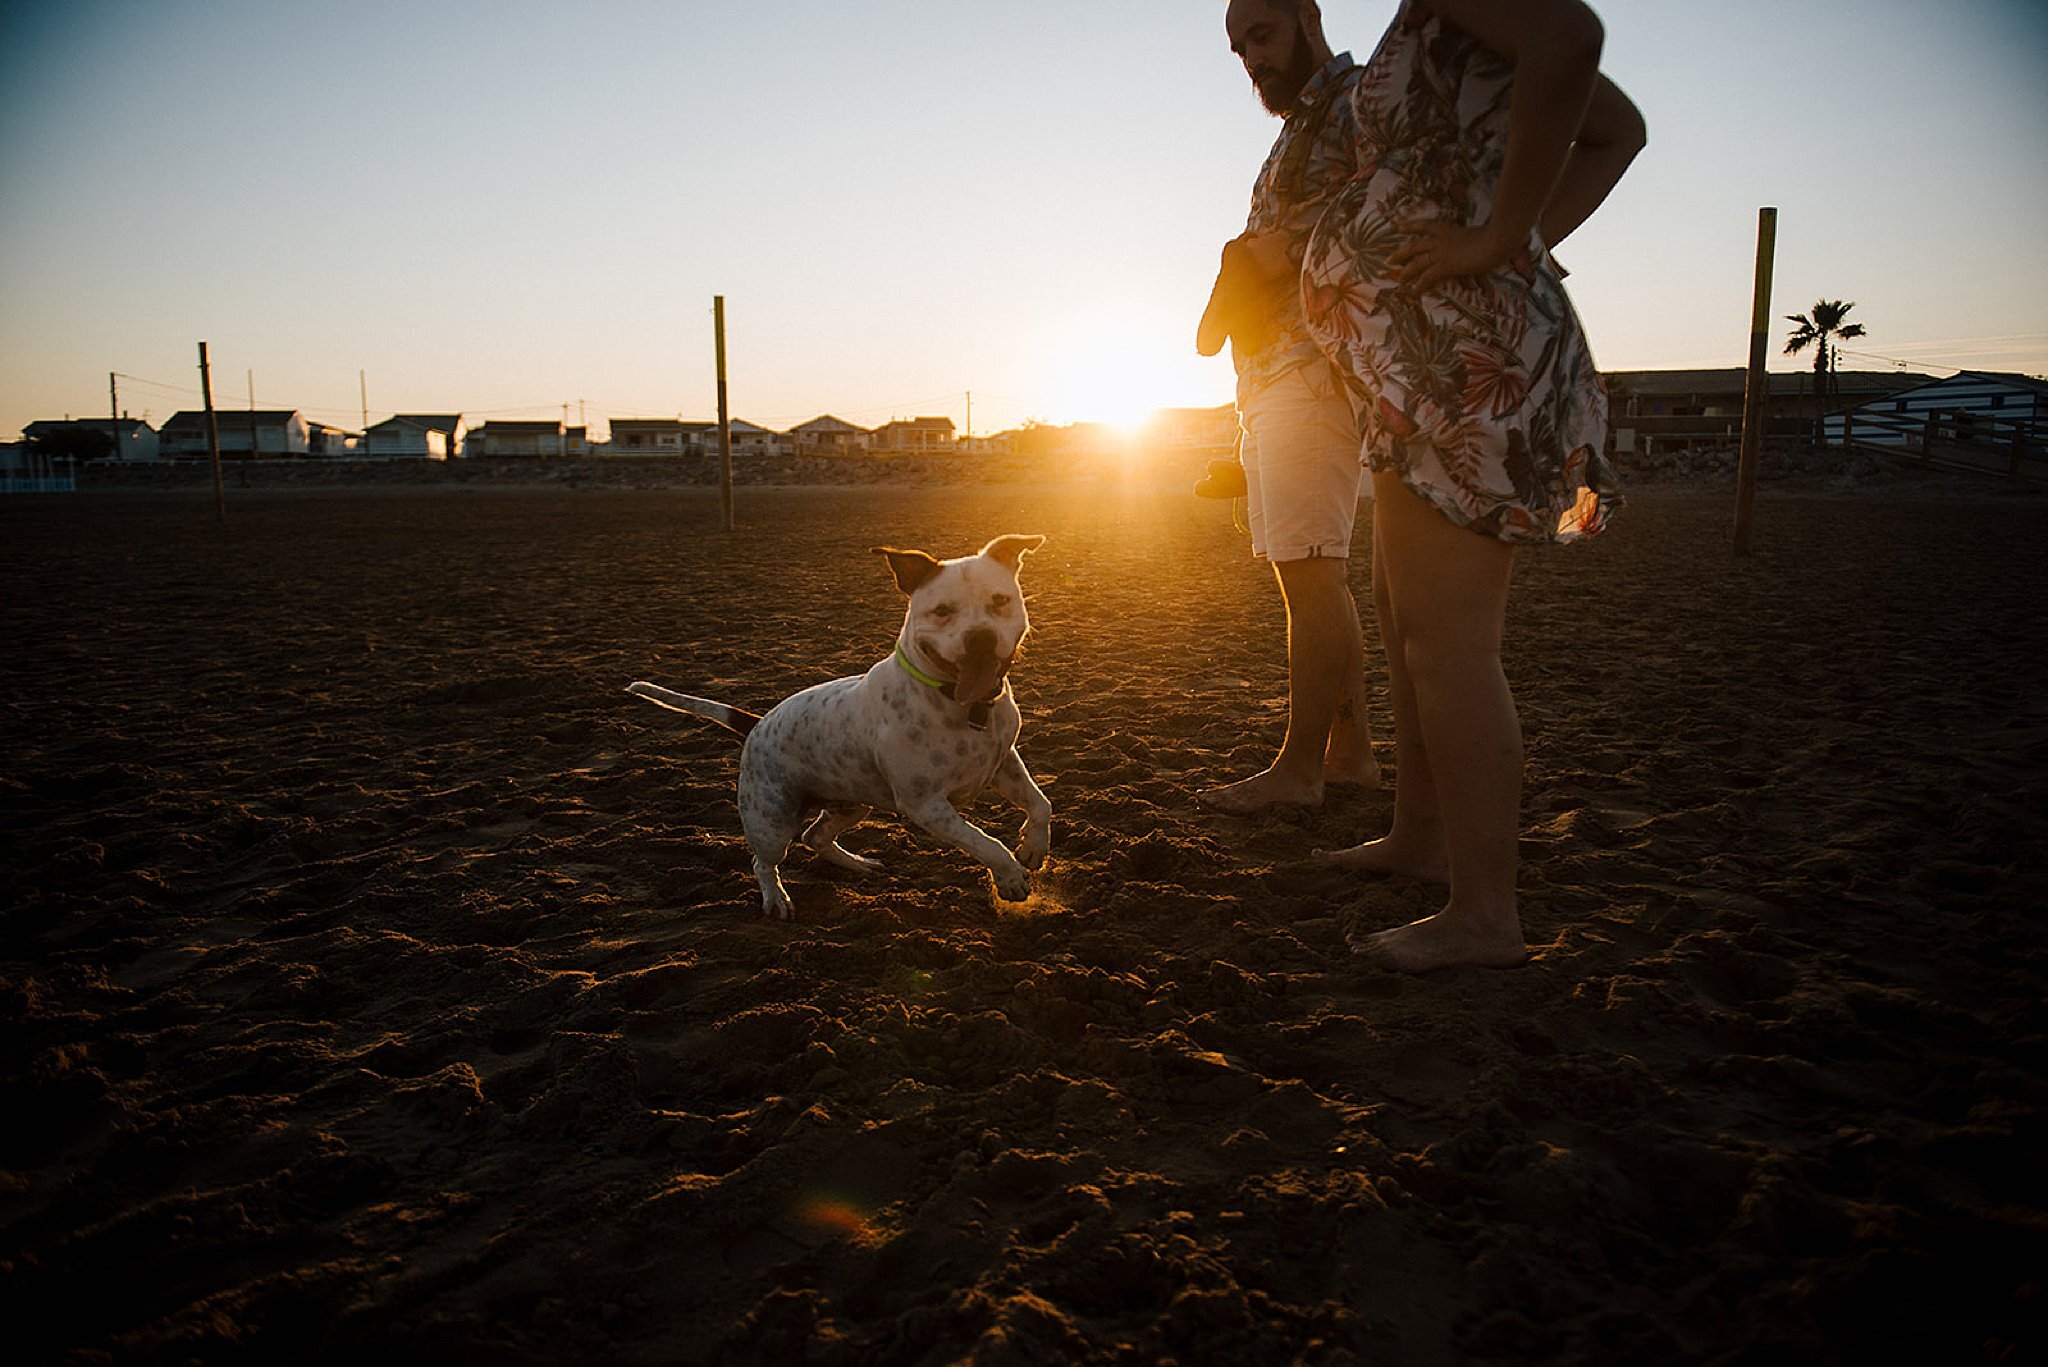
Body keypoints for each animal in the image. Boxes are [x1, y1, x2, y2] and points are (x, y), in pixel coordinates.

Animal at [622, 532, 1048, 918]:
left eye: (1000, 601)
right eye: (942, 610)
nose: (980, 638)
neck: (963, 705)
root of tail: (756, 723)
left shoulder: (1004, 763)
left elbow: (1041, 803)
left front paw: (1033, 848)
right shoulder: (926, 805)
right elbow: (984, 841)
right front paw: (1010, 877)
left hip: (851, 802)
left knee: (815, 835)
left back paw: (858, 864)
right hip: (771, 818)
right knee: (764, 861)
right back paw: (776, 899)